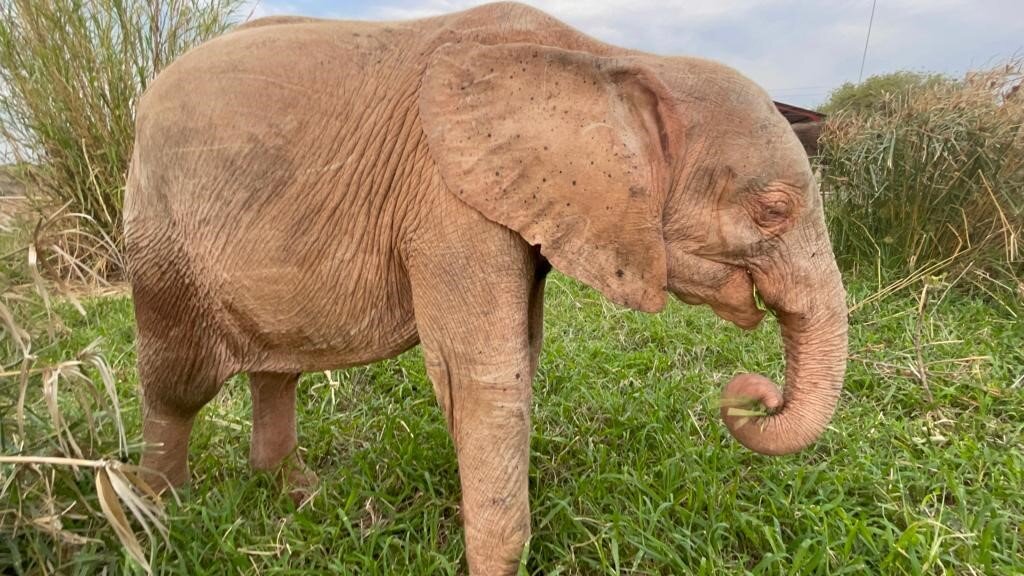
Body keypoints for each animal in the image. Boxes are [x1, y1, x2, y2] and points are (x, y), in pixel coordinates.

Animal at [125, 3, 848, 573]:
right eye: (773, 210)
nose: (752, 396)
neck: (607, 60)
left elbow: (521, 358)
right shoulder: (447, 197)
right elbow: (484, 377)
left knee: (277, 369)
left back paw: (298, 495)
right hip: (160, 235)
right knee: (177, 383)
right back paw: (161, 517)